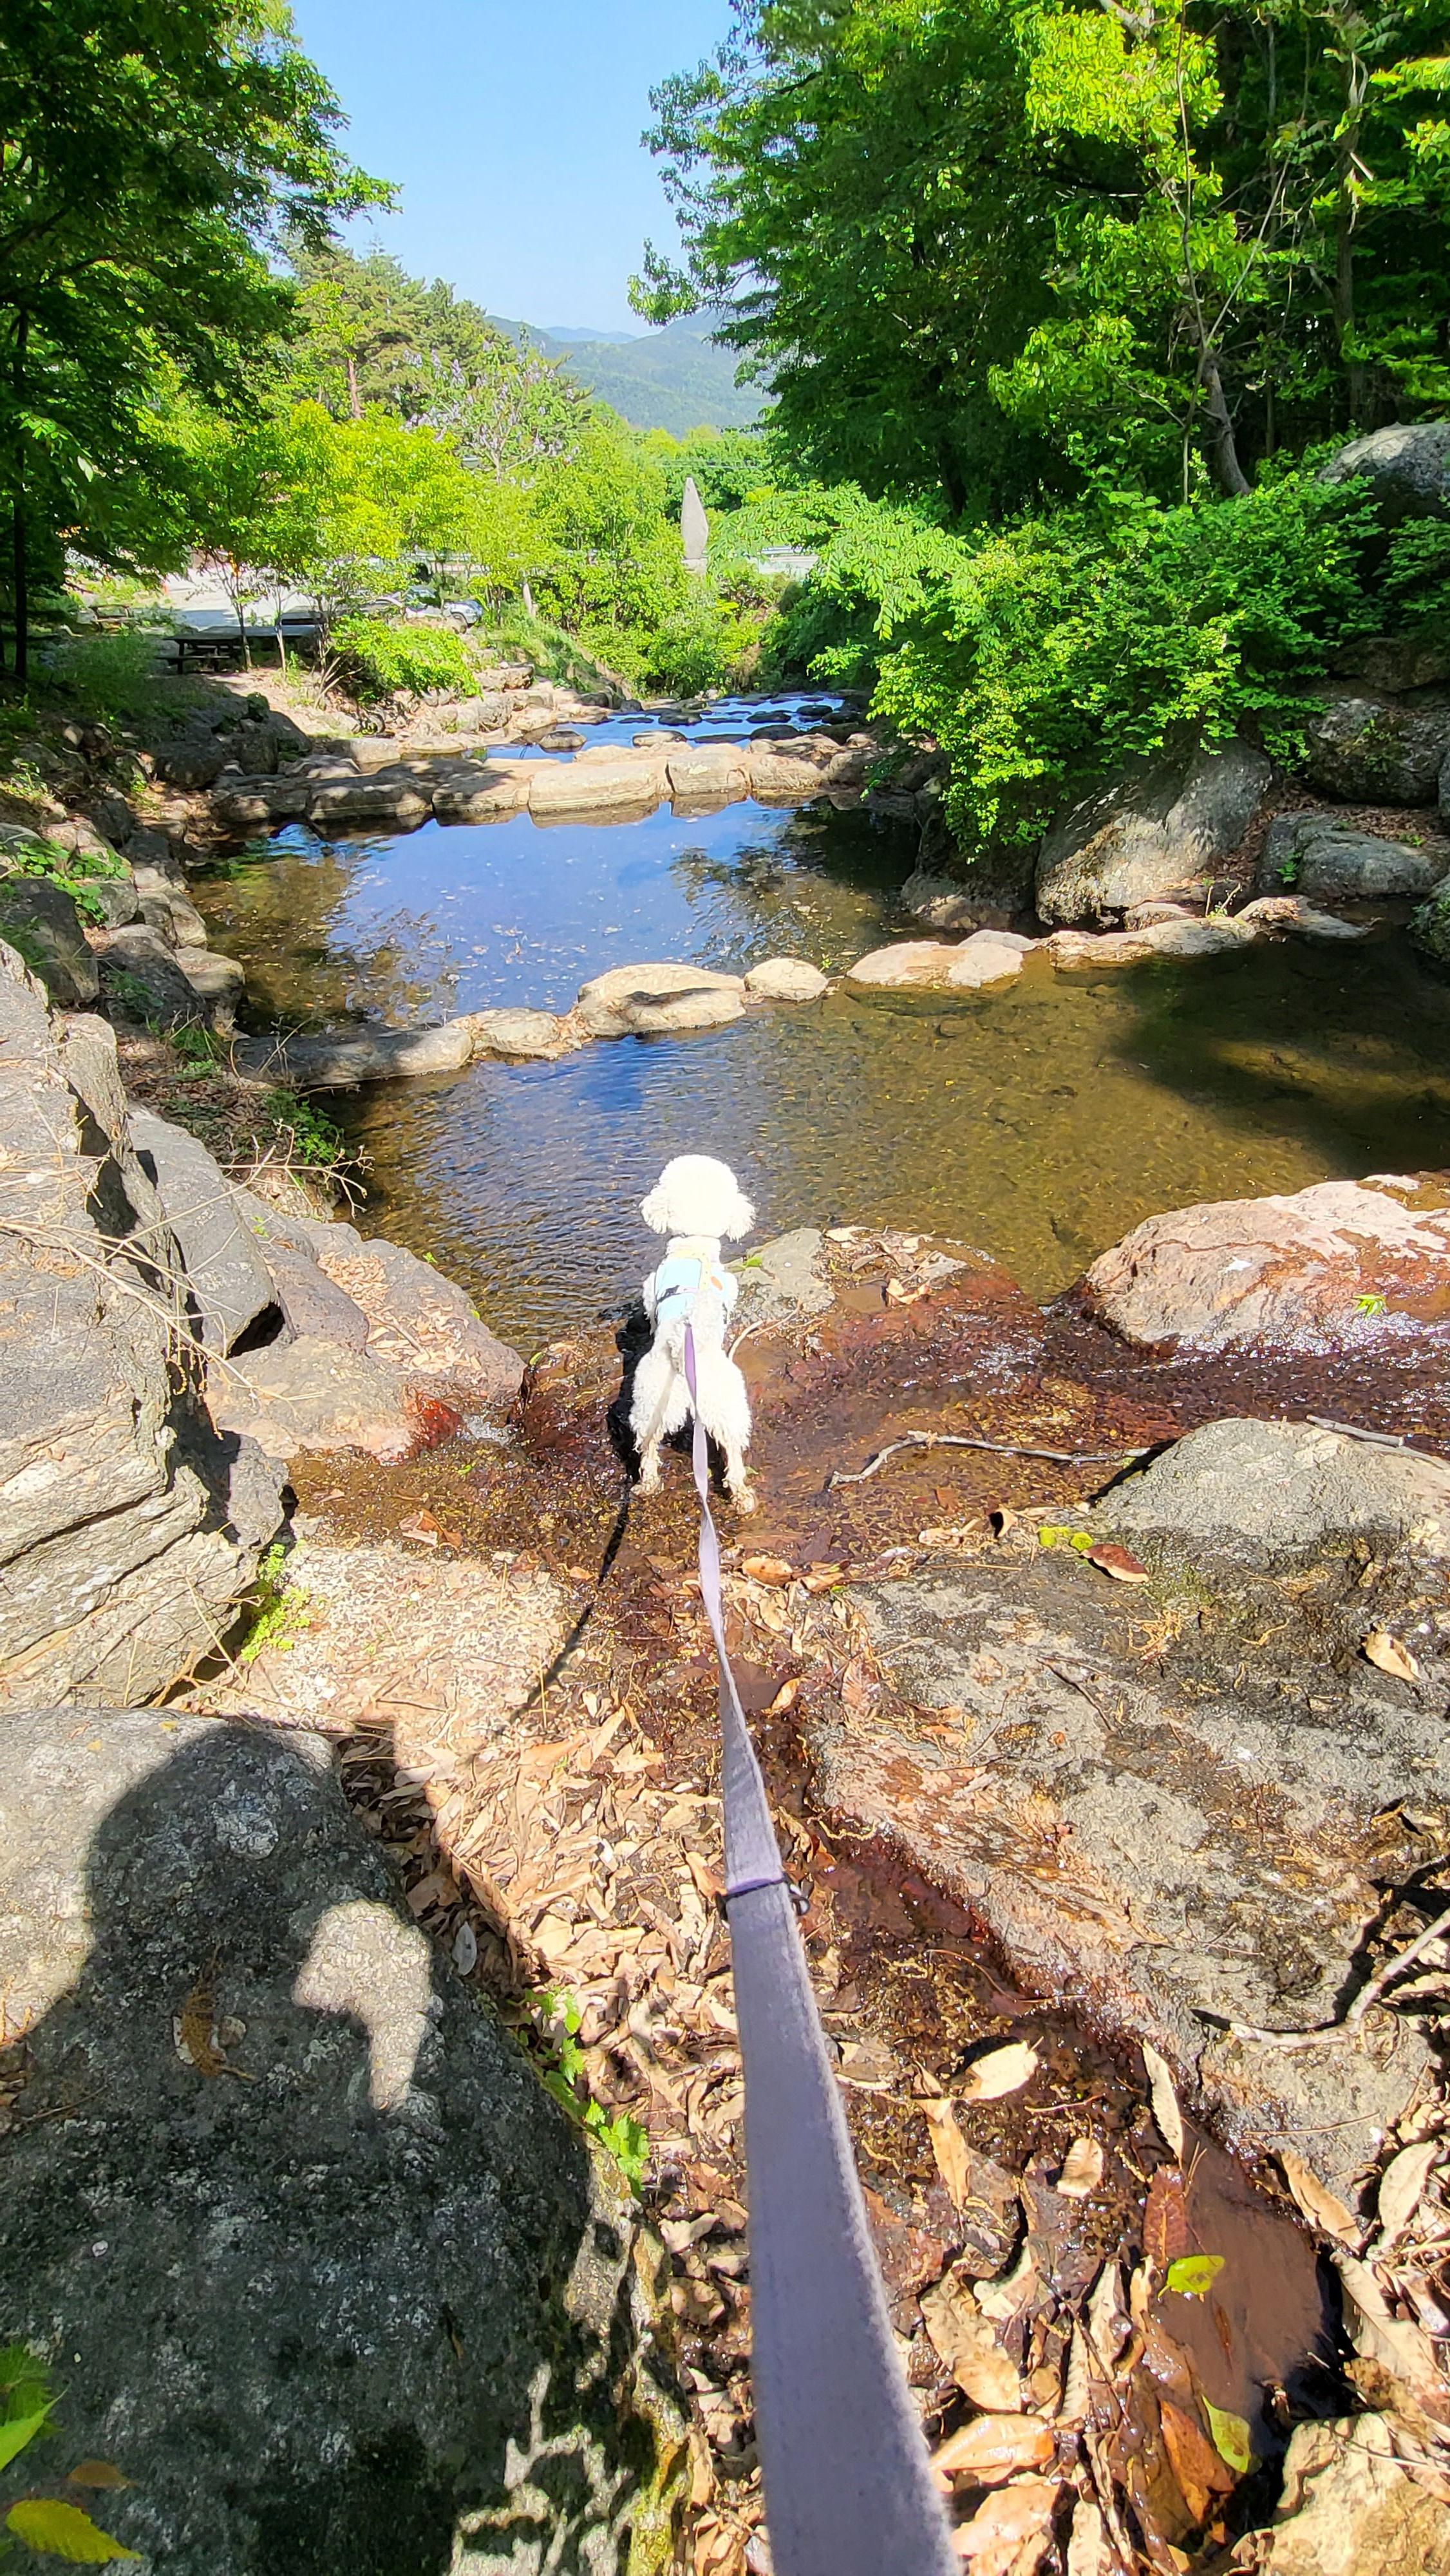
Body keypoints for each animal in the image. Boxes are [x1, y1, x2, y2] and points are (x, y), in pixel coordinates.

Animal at [631, 1154, 762, 1504]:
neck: (694, 1248)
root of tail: (682, 1349)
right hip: (726, 1400)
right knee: (733, 1449)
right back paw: (742, 1494)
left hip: (652, 1403)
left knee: (648, 1446)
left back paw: (648, 1483)